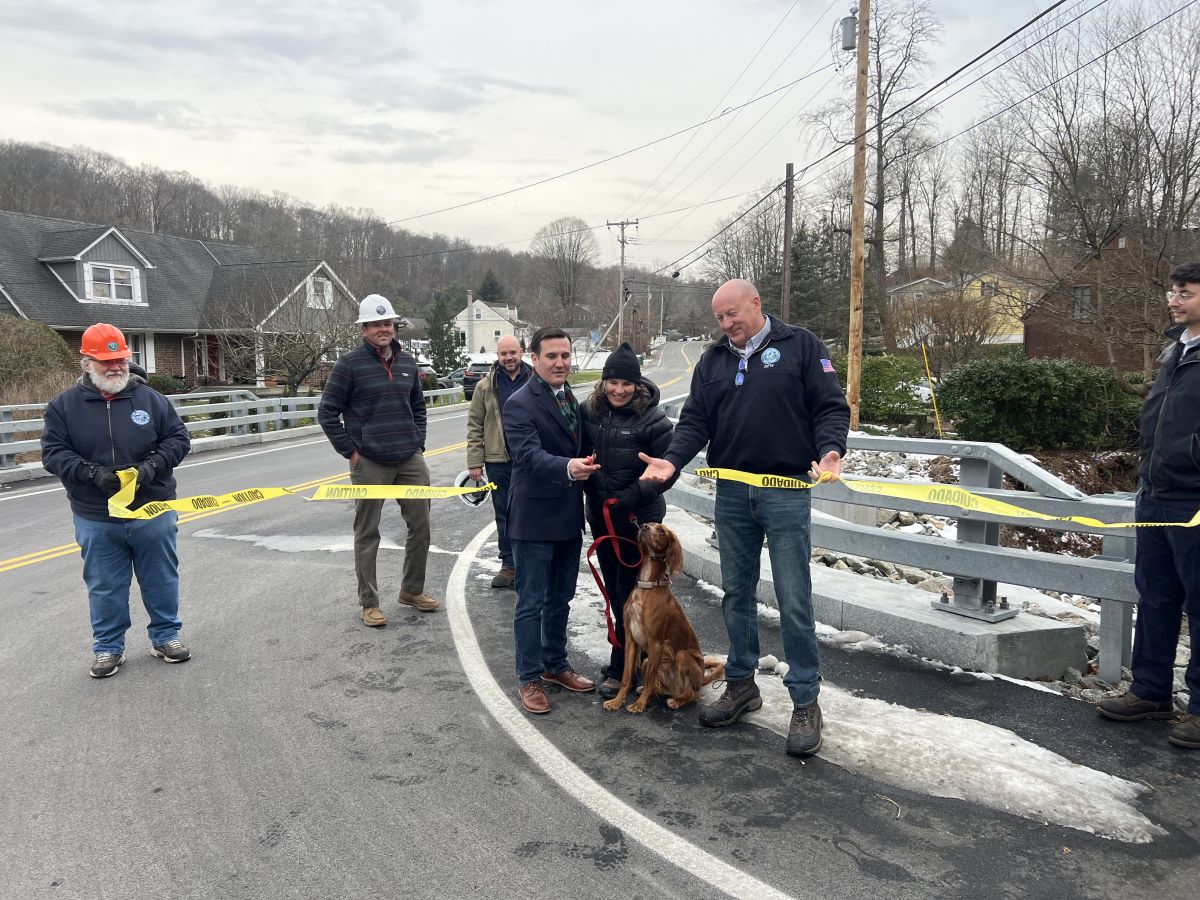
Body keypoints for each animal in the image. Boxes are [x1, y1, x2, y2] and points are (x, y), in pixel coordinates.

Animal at [602, 522, 724, 713]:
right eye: (648, 524)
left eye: (661, 530)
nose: (643, 526)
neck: (647, 585)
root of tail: (700, 680)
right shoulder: (631, 640)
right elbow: (626, 676)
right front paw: (617, 701)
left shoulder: (657, 644)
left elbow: (650, 679)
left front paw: (639, 705)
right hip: (646, 661)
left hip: (682, 656)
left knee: (693, 695)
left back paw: (677, 701)